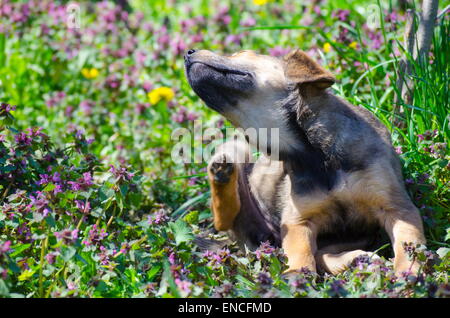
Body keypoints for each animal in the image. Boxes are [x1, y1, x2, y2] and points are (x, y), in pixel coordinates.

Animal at [185, 48, 428, 274]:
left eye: (243, 53)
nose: (188, 53)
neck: (314, 155)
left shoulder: (397, 208)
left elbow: (408, 245)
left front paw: (408, 273)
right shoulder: (297, 221)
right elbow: (300, 253)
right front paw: (297, 276)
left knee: (322, 254)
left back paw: (357, 259)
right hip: (239, 150)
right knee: (223, 217)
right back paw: (221, 172)